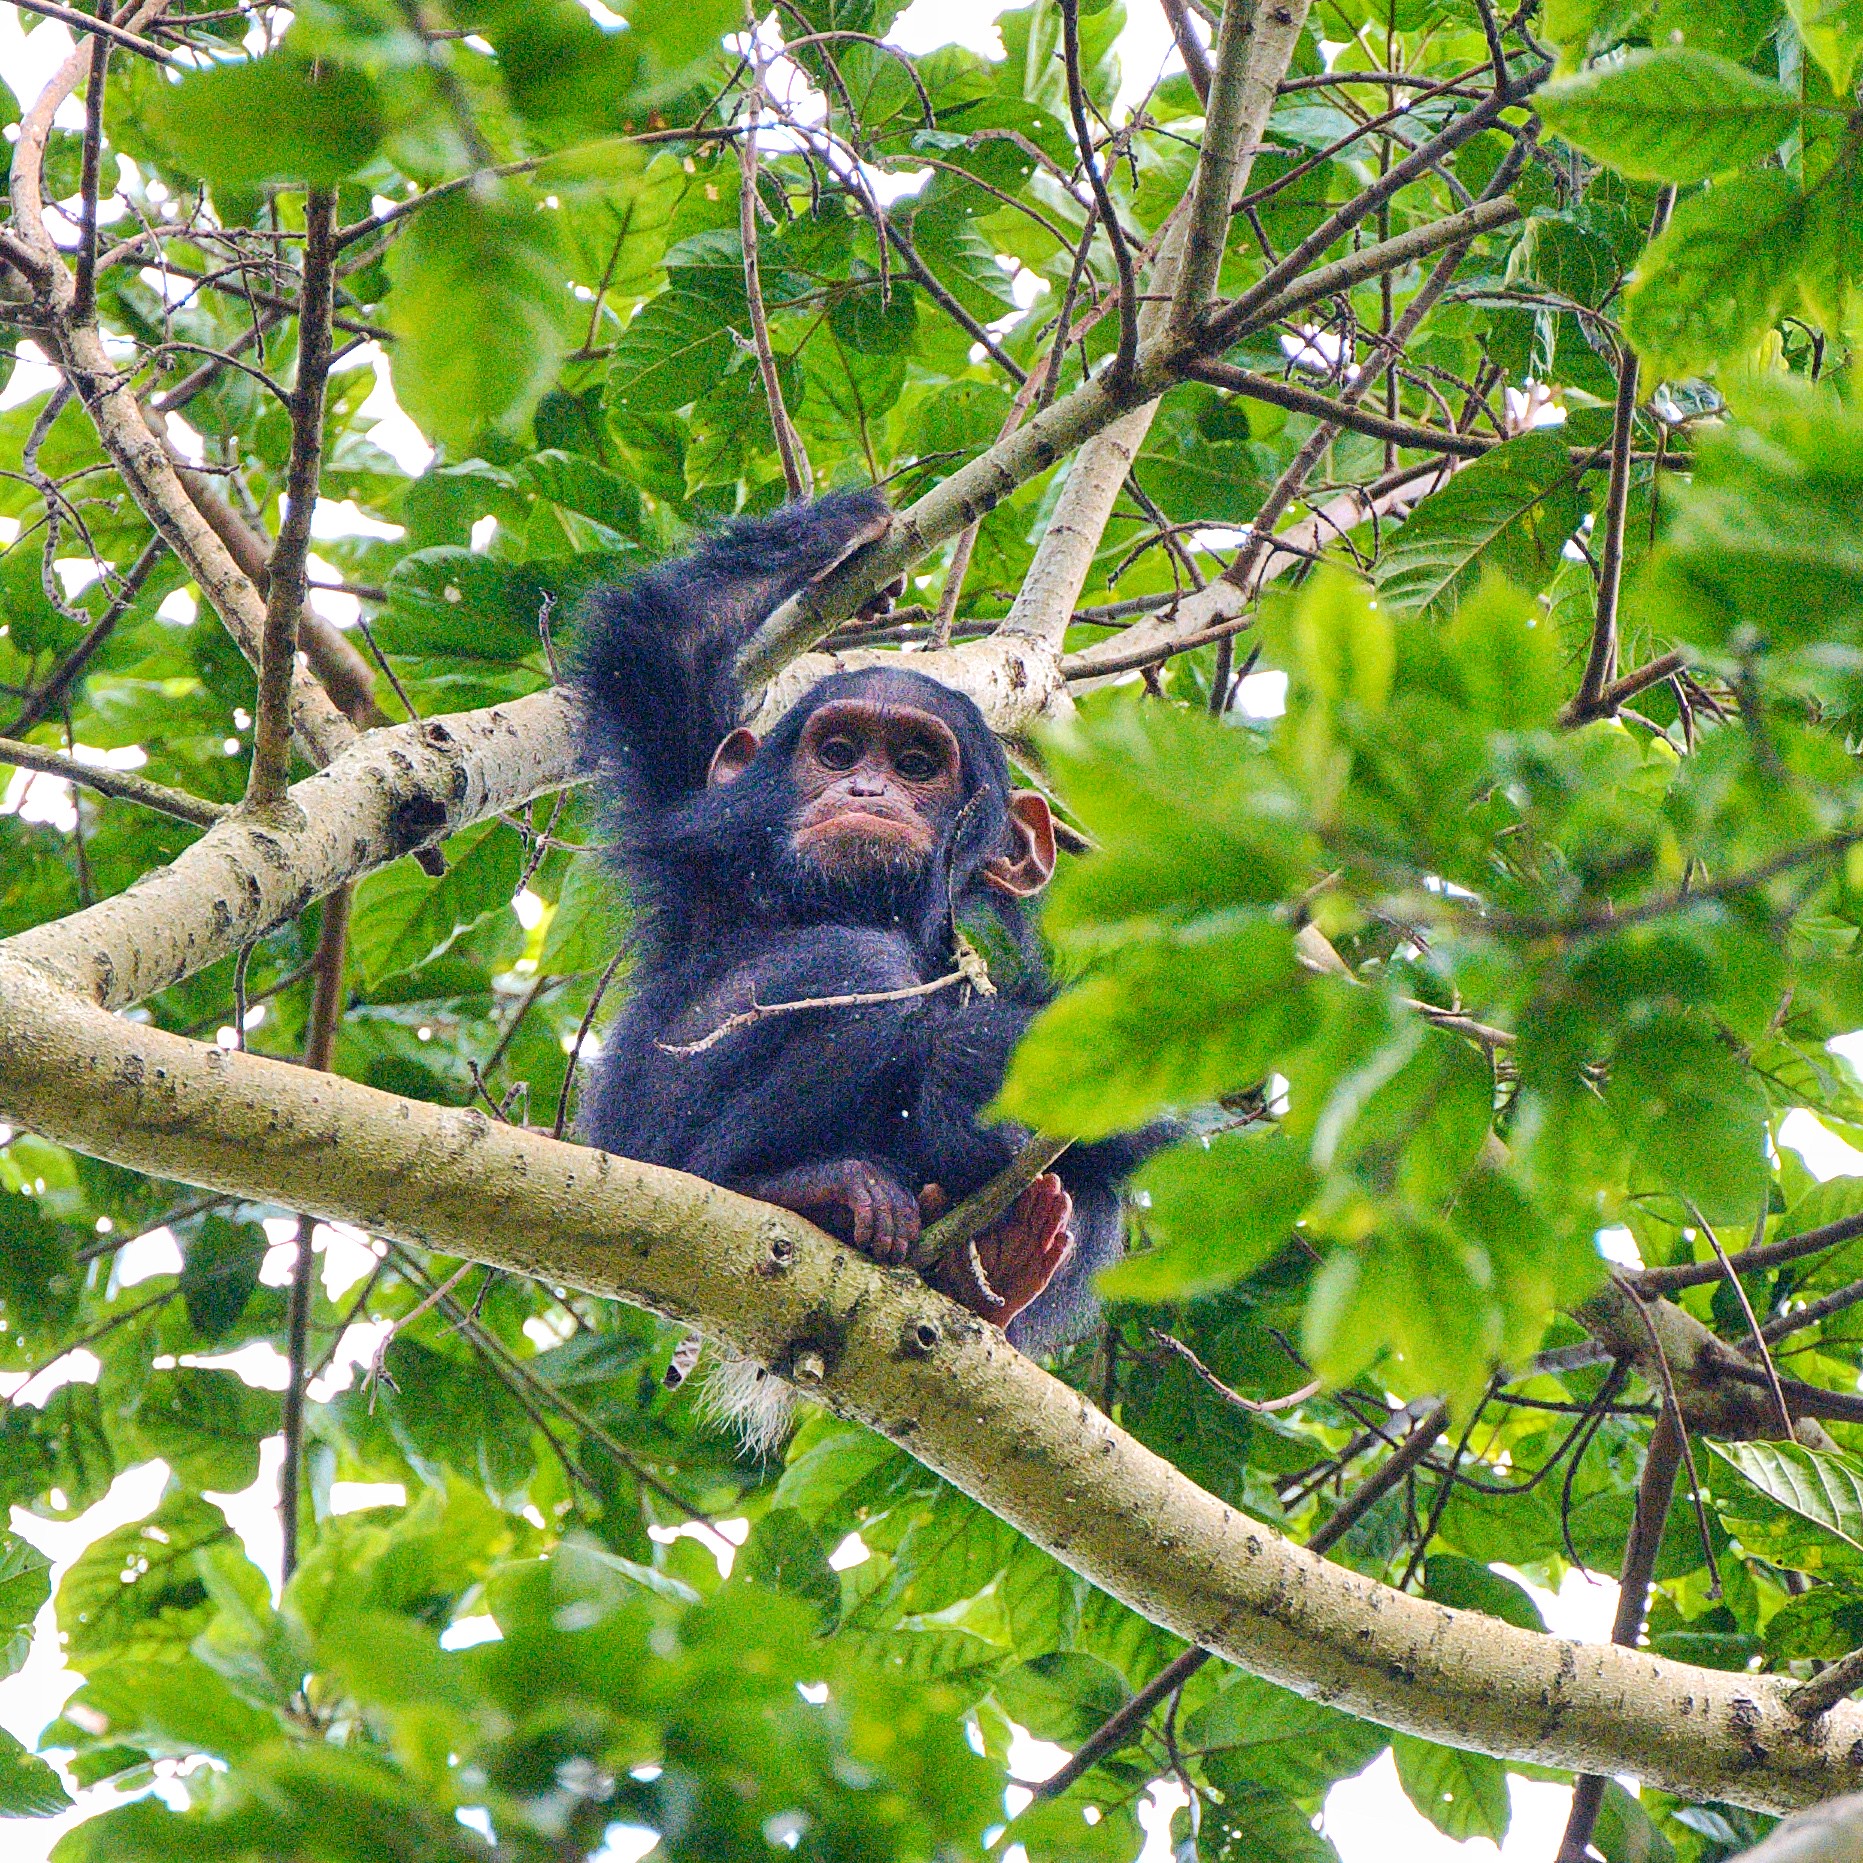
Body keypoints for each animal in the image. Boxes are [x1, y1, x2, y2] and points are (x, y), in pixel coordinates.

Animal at [566, 488, 1147, 1430]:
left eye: (915, 762)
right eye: (837, 751)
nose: (866, 788)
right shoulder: (695, 824)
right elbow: (662, 646)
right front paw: (848, 529)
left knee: (1091, 1183)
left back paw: (996, 1269)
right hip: (643, 1150)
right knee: (856, 967)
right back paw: (798, 1187)